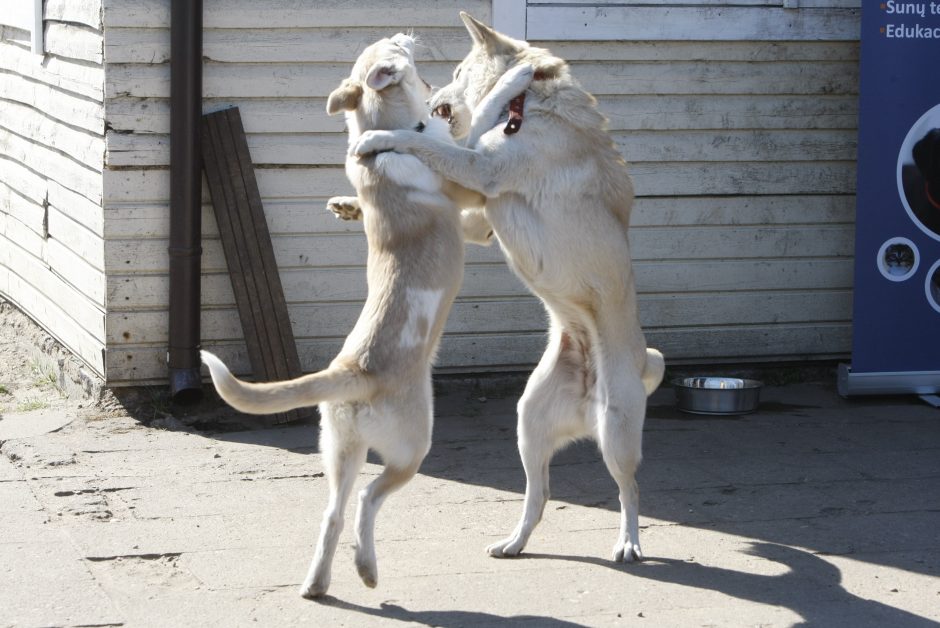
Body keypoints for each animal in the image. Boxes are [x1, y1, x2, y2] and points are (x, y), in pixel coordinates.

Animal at [201, 35, 532, 600]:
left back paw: (327, 580)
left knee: (334, 513)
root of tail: (352, 372)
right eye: (393, 46)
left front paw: (347, 205)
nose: (406, 32)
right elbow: (483, 118)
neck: (389, 140)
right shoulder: (472, 201)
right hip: (412, 448)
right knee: (367, 499)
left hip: (340, 451)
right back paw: (365, 567)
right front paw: (514, 77)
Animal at [352, 14, 668, 564]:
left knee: (629, 490)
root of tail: (588, 399)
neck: (527, 108)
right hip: (529, 425)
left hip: (618, 432)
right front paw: (347, 204)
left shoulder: (482, 171)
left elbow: (436, 144)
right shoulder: (480, 210)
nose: (436, 94)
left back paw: (628, 541)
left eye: (457, 70)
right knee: (538, 496)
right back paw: (515, 541)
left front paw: (379, 138)